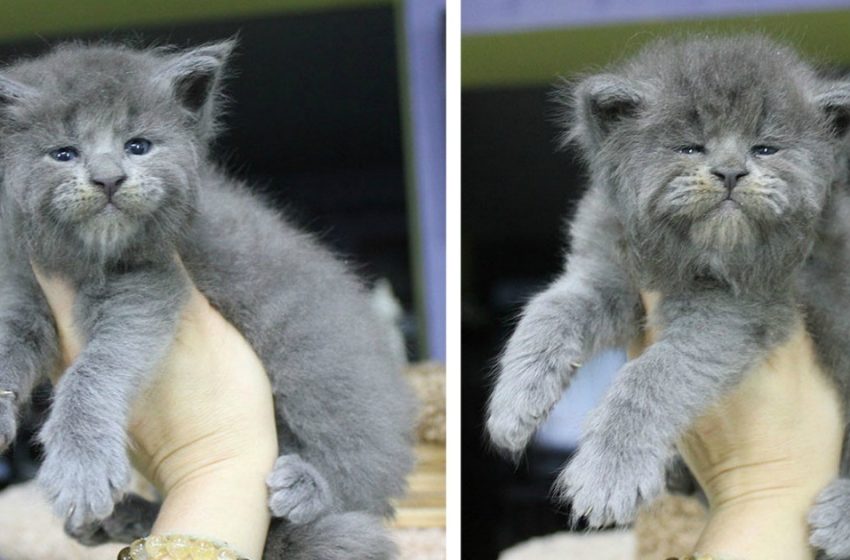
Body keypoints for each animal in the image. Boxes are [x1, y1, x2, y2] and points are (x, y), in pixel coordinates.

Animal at [0, 39, 414, 560]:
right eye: (63, 153)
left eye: (138, 146)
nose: (109, 178)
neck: (87, 261)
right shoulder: (23, 283)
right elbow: (10, 340)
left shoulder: (150, 288)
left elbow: (95, 369)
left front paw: (81, 468)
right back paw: (120, 519)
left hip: (325, 372)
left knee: (359, 466)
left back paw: (307, 485)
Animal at [484, 36, 850, 560]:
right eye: (689, 146)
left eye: (765, 147)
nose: (731, 171)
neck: (687, 258)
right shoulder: (607, 274)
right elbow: (549, 310)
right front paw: (513, 404)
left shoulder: (740, 311)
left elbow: (653, 374)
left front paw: (608, 473)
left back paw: (838, 518)